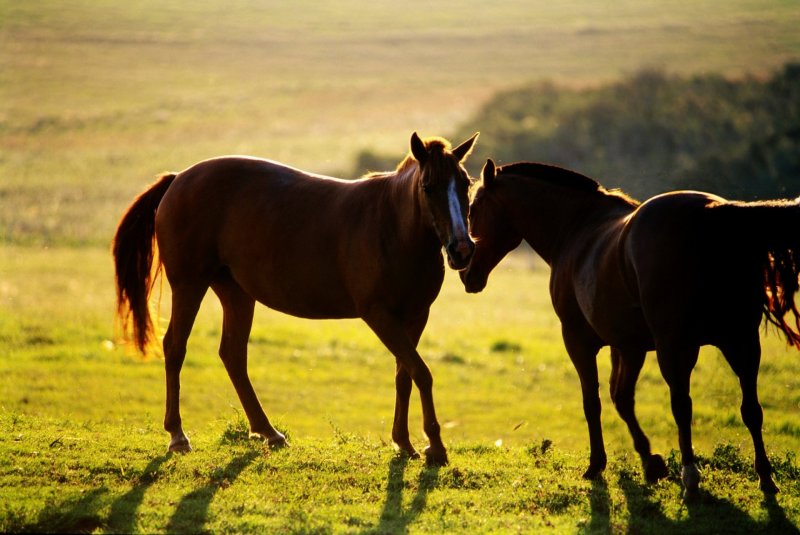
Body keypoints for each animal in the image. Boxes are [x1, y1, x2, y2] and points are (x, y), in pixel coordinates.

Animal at [111, 131, 476, 464]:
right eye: (428, 187)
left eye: (466, 185)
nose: (462, 249)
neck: (392, 226)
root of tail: (178, 179)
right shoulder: (379, 315)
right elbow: (421, 373)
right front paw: (435, 447)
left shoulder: (414, 316)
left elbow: (405, 373)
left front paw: (404, 442)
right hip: (189, 285)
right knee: (175, 347)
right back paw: (177, 435)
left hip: (236, 292)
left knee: (233, 354)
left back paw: (268, 431)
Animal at [460, 159, 800, 498]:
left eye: (473, 209)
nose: (465, 271)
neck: (576, 228)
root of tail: (711, 212)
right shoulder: (628, 345)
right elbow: (621, 397)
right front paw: (651, 463)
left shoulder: (578, 340)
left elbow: (593, 401)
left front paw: (597, 464)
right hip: (740, 341)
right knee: (751, 409)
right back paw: (765, 477)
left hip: (678, 347)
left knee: (683, 405)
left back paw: (690, 476)